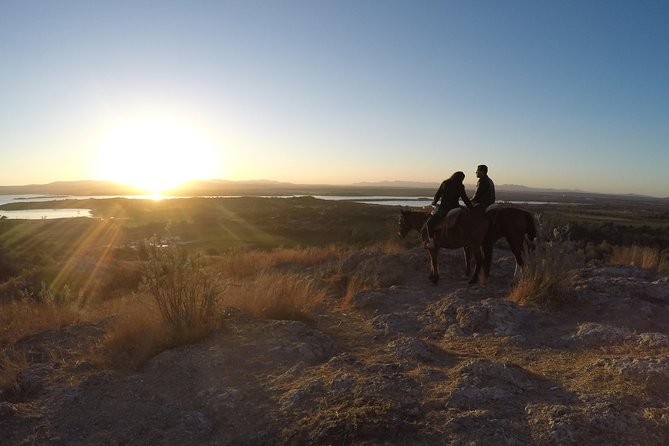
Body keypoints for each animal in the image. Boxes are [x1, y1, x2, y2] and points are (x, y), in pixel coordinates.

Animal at [396, 206, 536, 284]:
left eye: (399, 221)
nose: (399, 235)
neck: (425, 223)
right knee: (522, 257)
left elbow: (434, 261)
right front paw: (432, 276)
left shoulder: (433, 247)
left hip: (509, 240)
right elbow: (434, 260)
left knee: (516, 259)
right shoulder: (439, 247)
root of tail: (524, 213)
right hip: (517, 240)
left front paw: (435, 278)